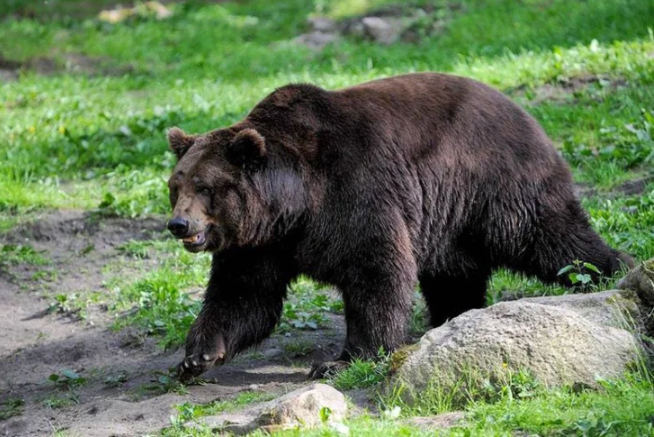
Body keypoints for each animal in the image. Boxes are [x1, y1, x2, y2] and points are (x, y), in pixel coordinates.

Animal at [167, 71, 632, 378]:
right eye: (176, 184)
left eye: (206, 186)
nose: (178, 224)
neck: (293, 204)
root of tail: (527, 113)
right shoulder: (260, 244)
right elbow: (244, 296)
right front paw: (197, 356)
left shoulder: (354, 192)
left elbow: (376, 271)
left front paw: (341, 360)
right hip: (448, 219)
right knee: (454, 274)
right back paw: (449, 317)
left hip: (496, 185)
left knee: (552, 239)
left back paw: (613, 269)